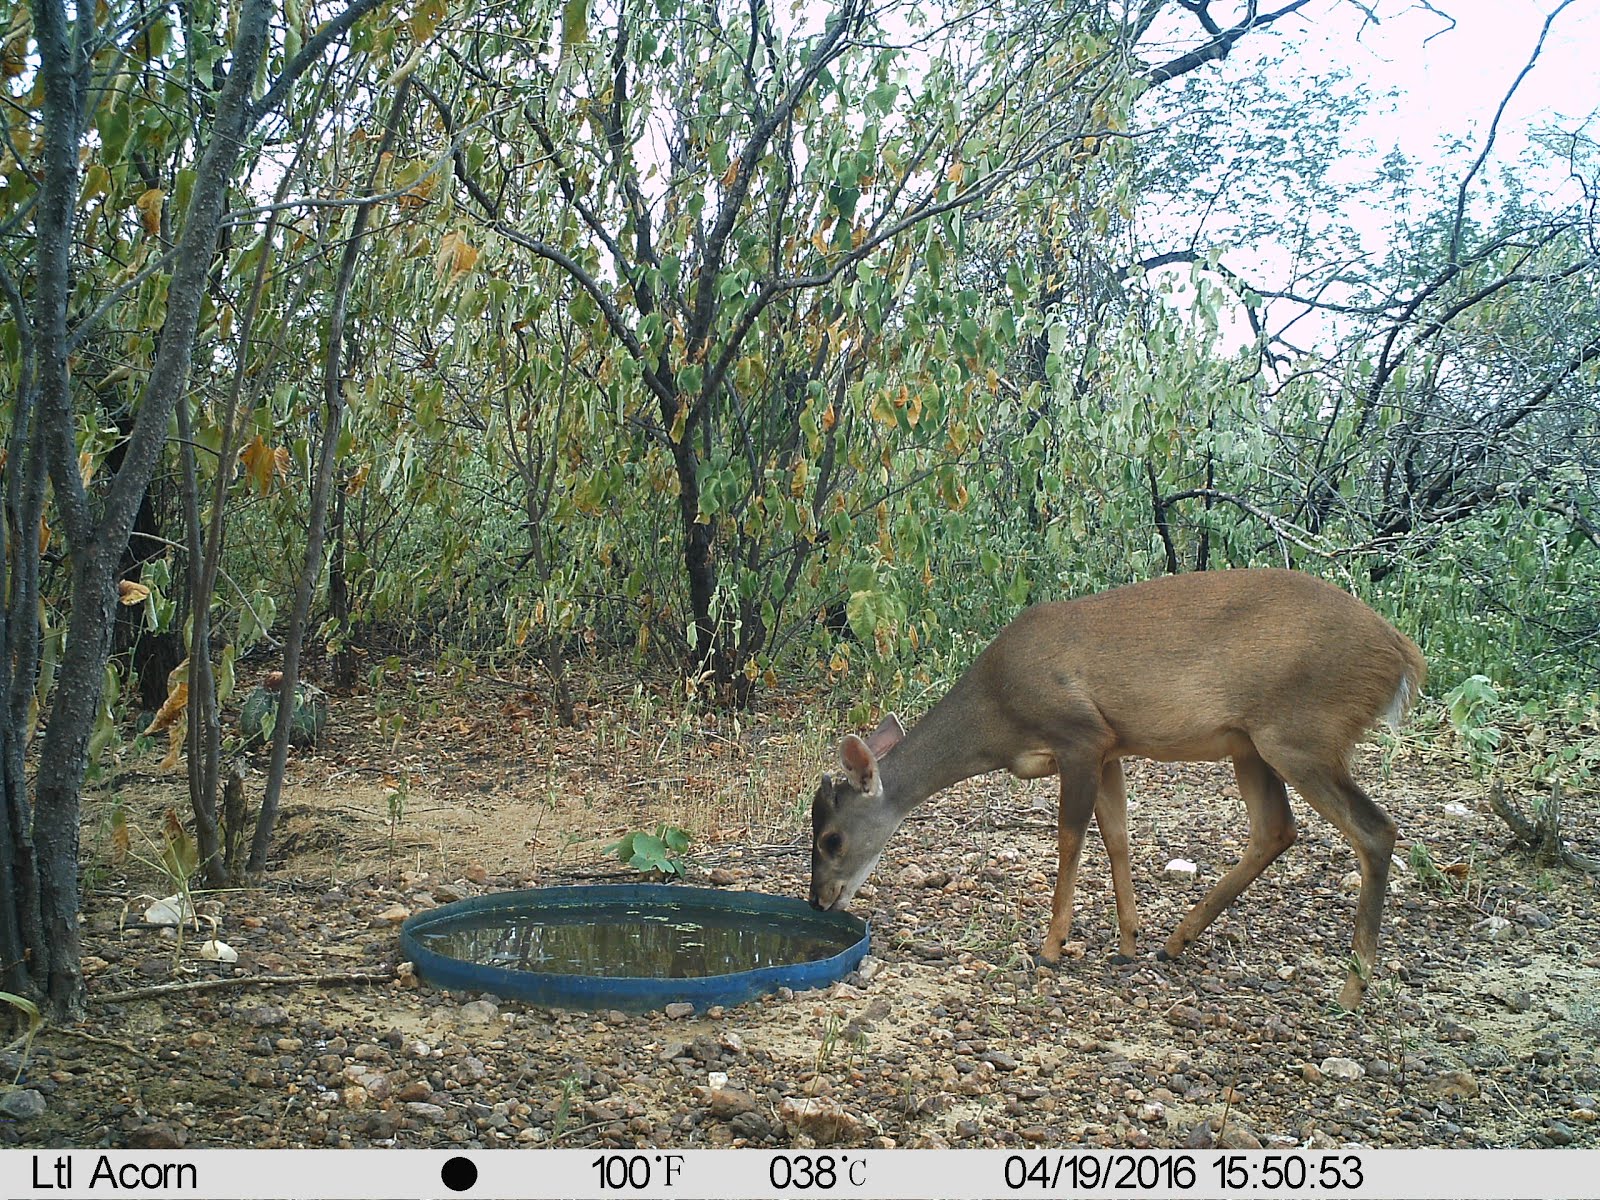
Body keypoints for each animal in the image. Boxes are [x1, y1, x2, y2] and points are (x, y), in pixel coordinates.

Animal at [812, 569, 1427, 1011]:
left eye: (831, 839)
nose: (818, 900)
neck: (996, 716)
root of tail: (1402, 654)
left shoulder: (1080, 736)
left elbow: (1070, 839)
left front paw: (1051, 948)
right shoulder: (1111, 749)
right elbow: (1117, 837)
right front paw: (1128, 941)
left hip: (1300, 733)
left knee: (1375, 829)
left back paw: (1352, 988)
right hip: (1251, 744)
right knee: (1276, 828)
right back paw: (1175, 941)